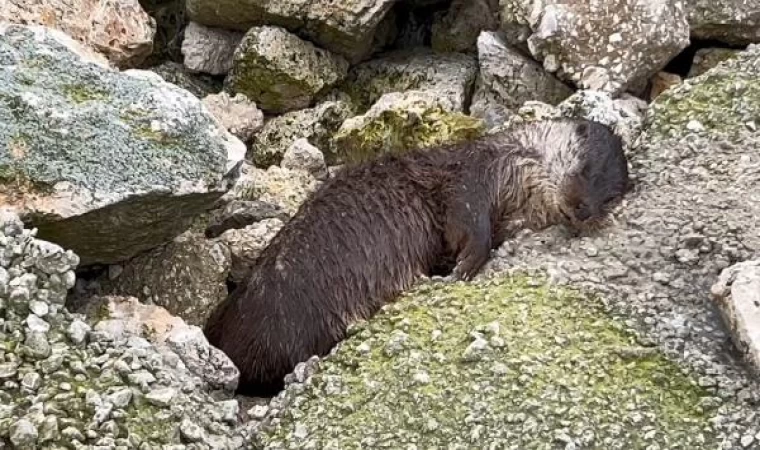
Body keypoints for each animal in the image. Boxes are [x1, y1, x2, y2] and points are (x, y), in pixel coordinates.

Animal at [202, 118, 628, 396]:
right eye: (584, 169)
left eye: (611, 196)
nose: (583, 210)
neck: (513, 166)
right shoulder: (472, 176)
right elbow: (467, 223)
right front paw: (464, 267)